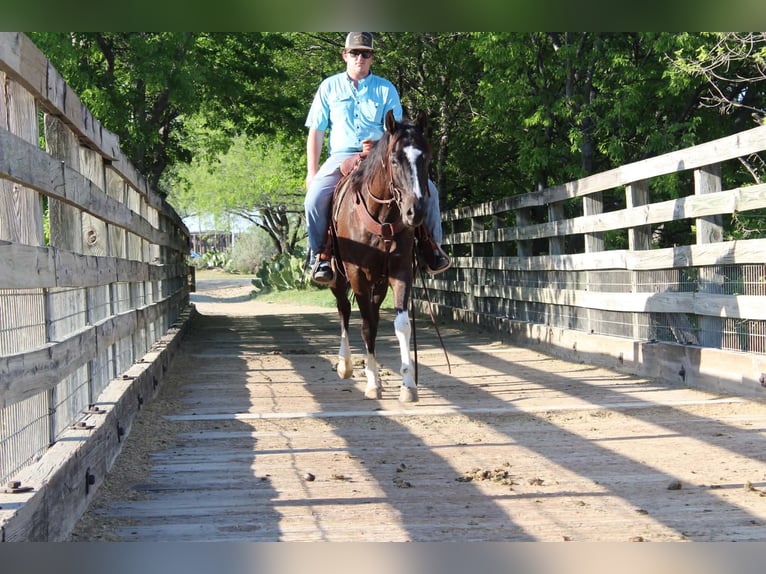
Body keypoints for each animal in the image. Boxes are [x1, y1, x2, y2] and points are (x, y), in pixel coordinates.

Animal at [329, 109, 432, 403]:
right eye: (395, 160)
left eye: (426, 157)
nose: (415, 211)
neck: (383, 217)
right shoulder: (356, 274)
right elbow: (365, 325)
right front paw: (373, 383)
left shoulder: (400, 272)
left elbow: (401, 324)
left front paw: (408, 385)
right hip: (338, 278)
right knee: (344, 310)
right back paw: (345, 364)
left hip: (379, 282)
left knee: (371, 314)